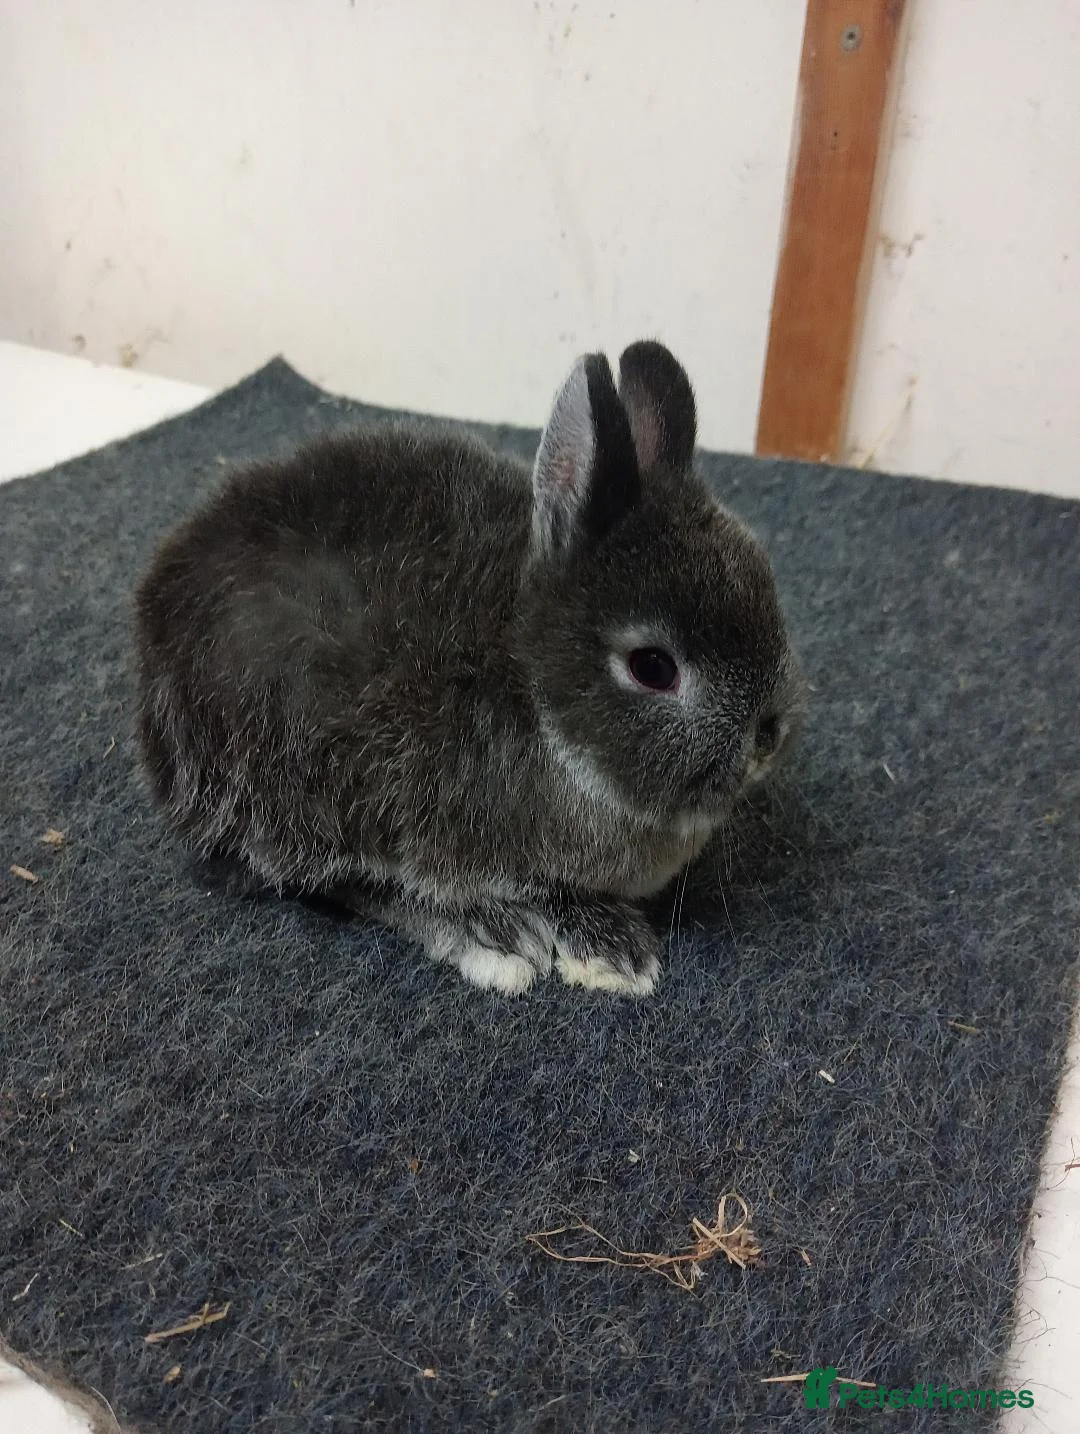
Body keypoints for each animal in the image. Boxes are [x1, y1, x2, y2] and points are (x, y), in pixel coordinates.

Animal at [134, 340, 804, 997]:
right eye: (653, 667)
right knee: (327, 876)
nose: (766, 738)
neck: (531, 688)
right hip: (293, 779)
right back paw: (492, 936)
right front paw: (607, 948)